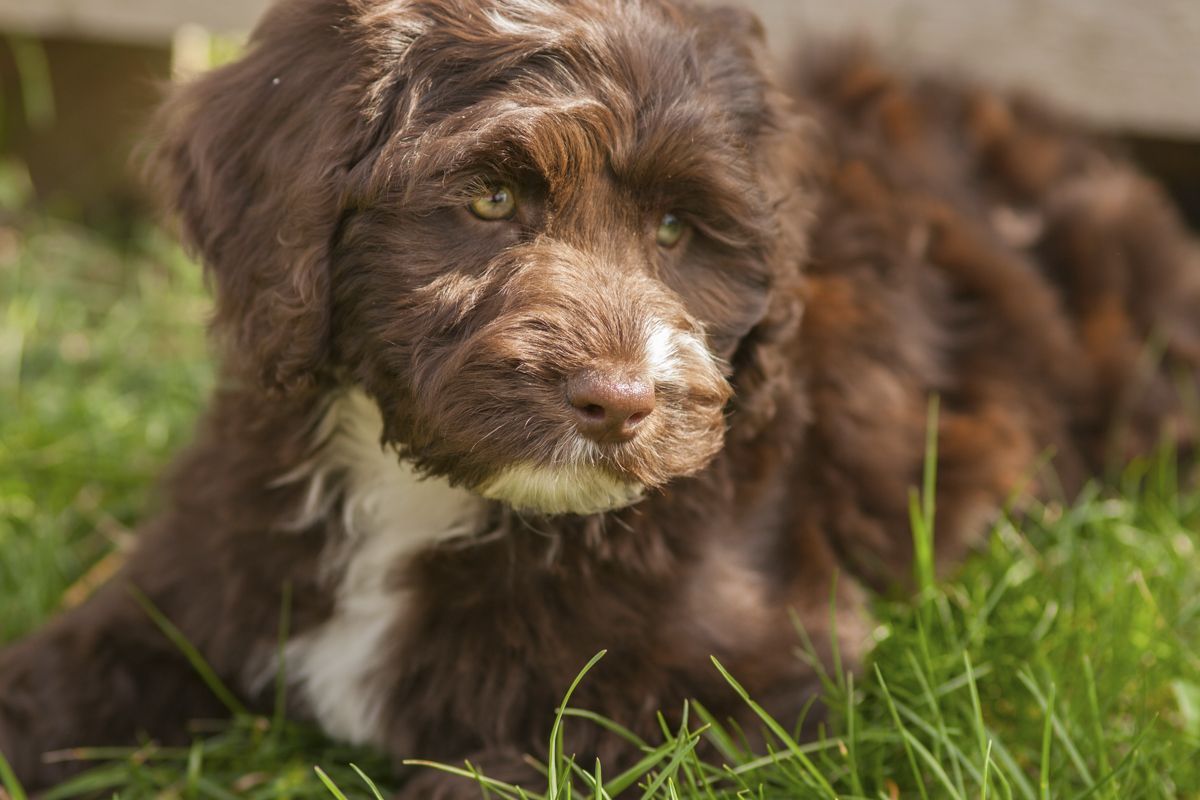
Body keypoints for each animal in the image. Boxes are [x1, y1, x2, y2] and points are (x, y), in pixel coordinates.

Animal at [2, 0, 1200, 796]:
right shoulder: (198, 576)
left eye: (677, 230)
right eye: (489, 201)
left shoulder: (761, 679)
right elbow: (52, 680)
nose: (623, 401)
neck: (421, 494)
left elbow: (544, 751)